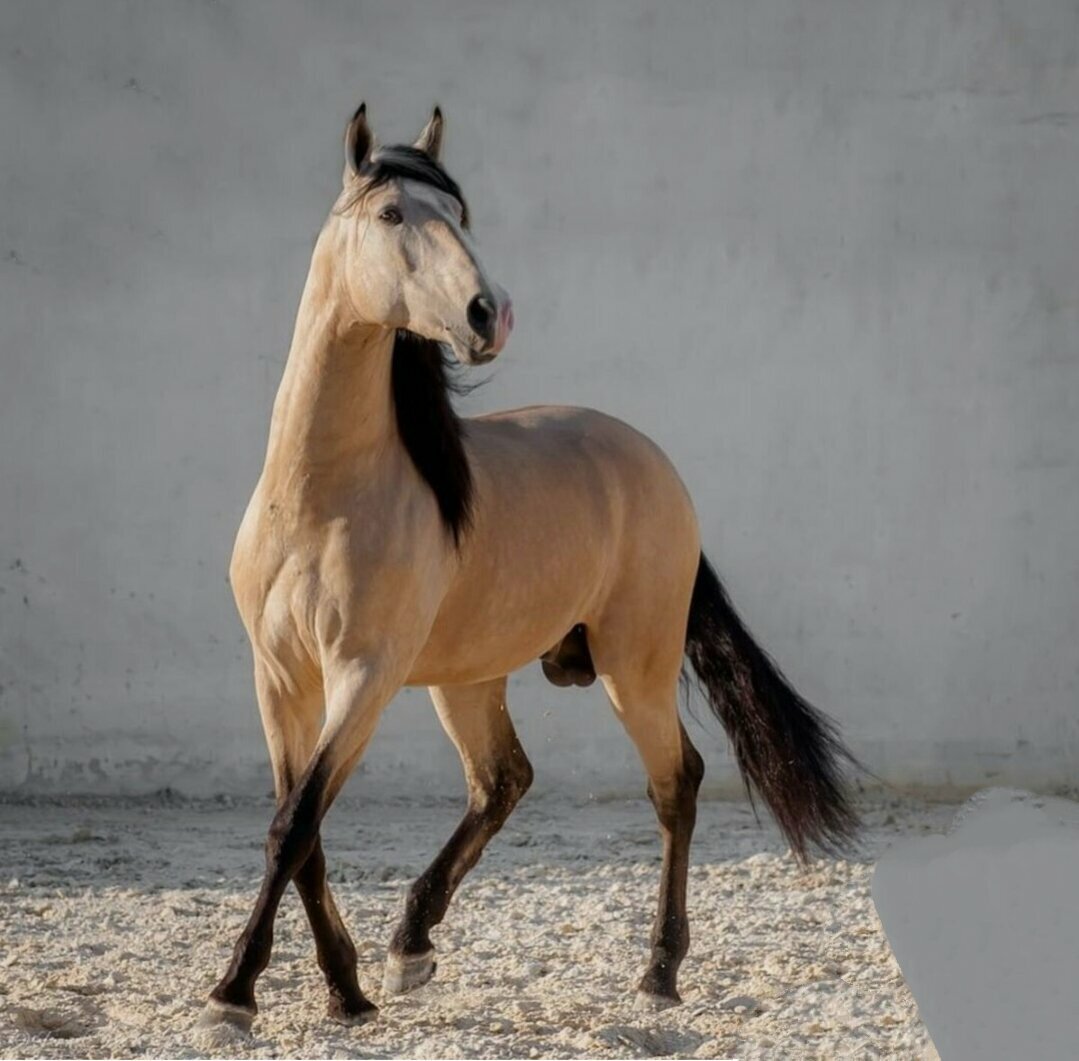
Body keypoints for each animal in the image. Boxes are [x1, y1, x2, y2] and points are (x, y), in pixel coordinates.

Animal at [200, 102, 859, 1032]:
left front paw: (234, 993)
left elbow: (294, 826)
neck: (319, 495)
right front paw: (345, 990)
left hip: (631, 665)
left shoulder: (362, 675)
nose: (489, 313)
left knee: (675, 781)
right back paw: (411, 943)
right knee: (502, 780)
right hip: (467, 678)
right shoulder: (280, 677)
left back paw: (657, 972)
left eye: (458, 213)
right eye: (391, 213)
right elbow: (305, 832)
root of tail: (654, 464)